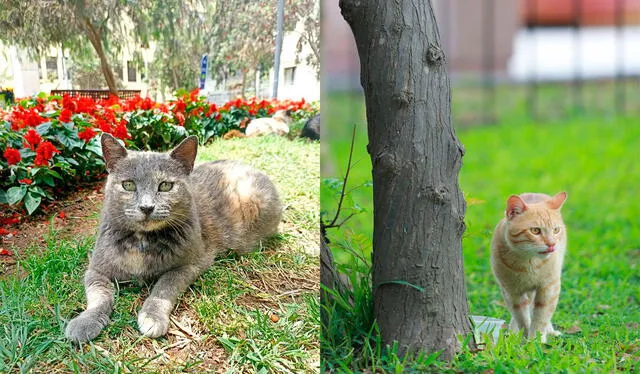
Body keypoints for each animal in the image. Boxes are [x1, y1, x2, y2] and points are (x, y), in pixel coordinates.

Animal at [65, 134, 282, 342]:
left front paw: (152, 317)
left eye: (165, 186)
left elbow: (165, 285)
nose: (146, 207)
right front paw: (85, 322)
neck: (142, 240)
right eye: (128, 185)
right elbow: (99, 294)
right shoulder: (96, 268)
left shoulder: (191, 263)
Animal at [492, 193, 568, 342]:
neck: (528, 263)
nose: (552, 244)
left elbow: (541, 318)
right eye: (535, 231)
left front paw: (536, 341)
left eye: (556, 230)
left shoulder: (549, 288)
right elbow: (522, 318)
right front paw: (525, 338)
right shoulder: (512, 292)